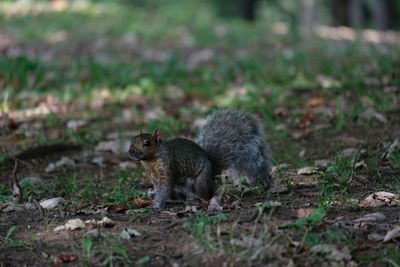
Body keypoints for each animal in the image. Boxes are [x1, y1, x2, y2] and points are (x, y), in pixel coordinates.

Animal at [130, 109, 274, 209]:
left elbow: (165, 187)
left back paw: (203, 200)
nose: (131, 151)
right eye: (132, 140)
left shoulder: (167, 167)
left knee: (206, 193)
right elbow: (158, 186)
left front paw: (157, 205)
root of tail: (212, 174)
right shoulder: (152, 174)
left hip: (201, 179)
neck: (150, 161)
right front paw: (153, 193)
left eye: (147, 143)